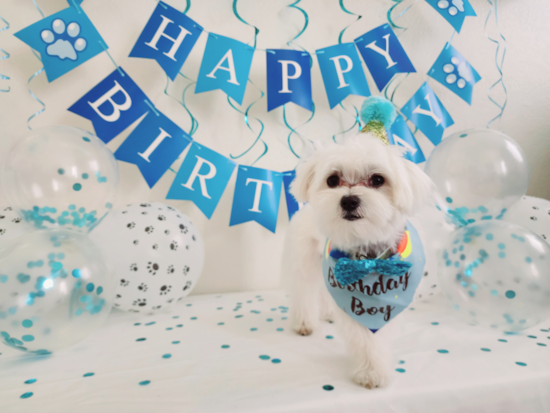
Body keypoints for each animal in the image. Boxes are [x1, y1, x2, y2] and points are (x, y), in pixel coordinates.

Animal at [284, 98, 436, 388]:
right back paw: (304, 322)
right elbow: (366, 340)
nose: (349, 200)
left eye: (377, 179)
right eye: (333, 179)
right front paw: (371, 372)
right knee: (304, 291)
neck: (368, 255)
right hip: (304, 260)